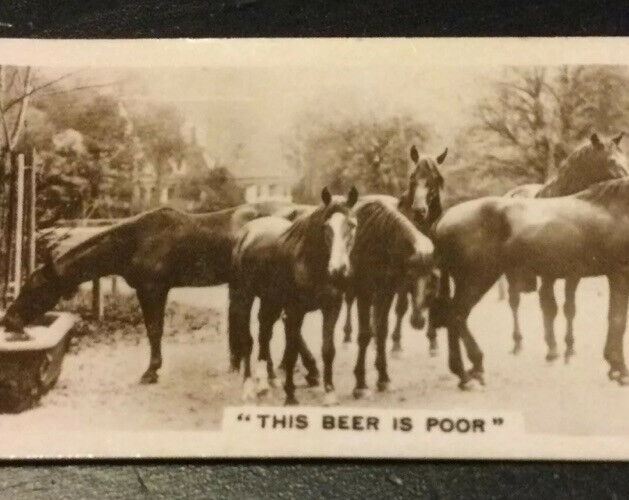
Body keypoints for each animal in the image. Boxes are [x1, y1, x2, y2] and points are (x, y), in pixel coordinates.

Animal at [0, 199, 310, 382]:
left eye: (36, 288)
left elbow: (153, 330)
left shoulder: (153, 290)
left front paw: (151, 371)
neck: (136, 241)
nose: (9, 320)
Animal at [229, 186, 358, 404]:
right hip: (245, 296)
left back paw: (265, 383)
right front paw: (290, 396)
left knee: (265, 333)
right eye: (327, 227)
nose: (339, 270)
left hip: (270, 300)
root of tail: (246, 233)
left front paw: (330, 392)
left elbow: (328, 349)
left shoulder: (332, 307)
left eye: (352, 225)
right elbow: (290, 352)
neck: (311, 262)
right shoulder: (295, 311)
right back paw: (248, 387)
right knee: (248, 339)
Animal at [338, 145, 446, 356]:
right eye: (412, 178)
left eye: (436, 179)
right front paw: (396, 343)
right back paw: (348, 335)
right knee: (350, 298)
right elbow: (401, 306)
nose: (419, 210)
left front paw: (433, 340)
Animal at [434, 176, 629, 390]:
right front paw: (620, 370)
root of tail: (444, 219)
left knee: (453, 317)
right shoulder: (620, 274)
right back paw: (470, 370)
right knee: (457, 315)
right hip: (477, 279)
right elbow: (618, 320)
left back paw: (465, 373)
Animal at [502, 132, 624, 360]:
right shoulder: (549, 274)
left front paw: (569, 346)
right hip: (511, 272)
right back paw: (518, 342)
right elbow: (550, 307)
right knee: (515, 301)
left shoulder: (573, 273)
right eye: (611, 161)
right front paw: (553, 349)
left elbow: (569, 308)